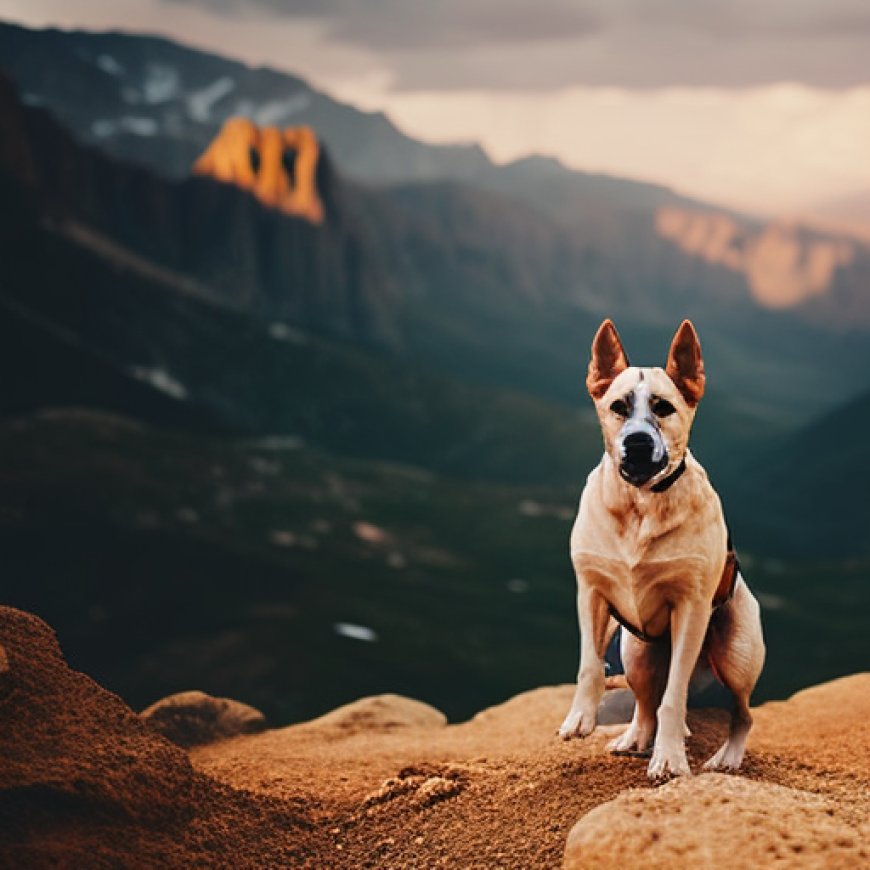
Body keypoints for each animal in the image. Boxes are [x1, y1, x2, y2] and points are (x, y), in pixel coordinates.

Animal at [564, 316, 768, 780]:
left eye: (663, 408)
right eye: (618, 407)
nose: (638, 442)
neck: (641, 504)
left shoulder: (691, 608)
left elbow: (674, 698)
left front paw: (670, 758)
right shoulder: (591, 592)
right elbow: (589, 665)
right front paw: (579, 718)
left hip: (735, 657)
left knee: (742, 713)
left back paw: (727, 757)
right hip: (635, 652)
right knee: (644, 703)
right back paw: (635, 738)